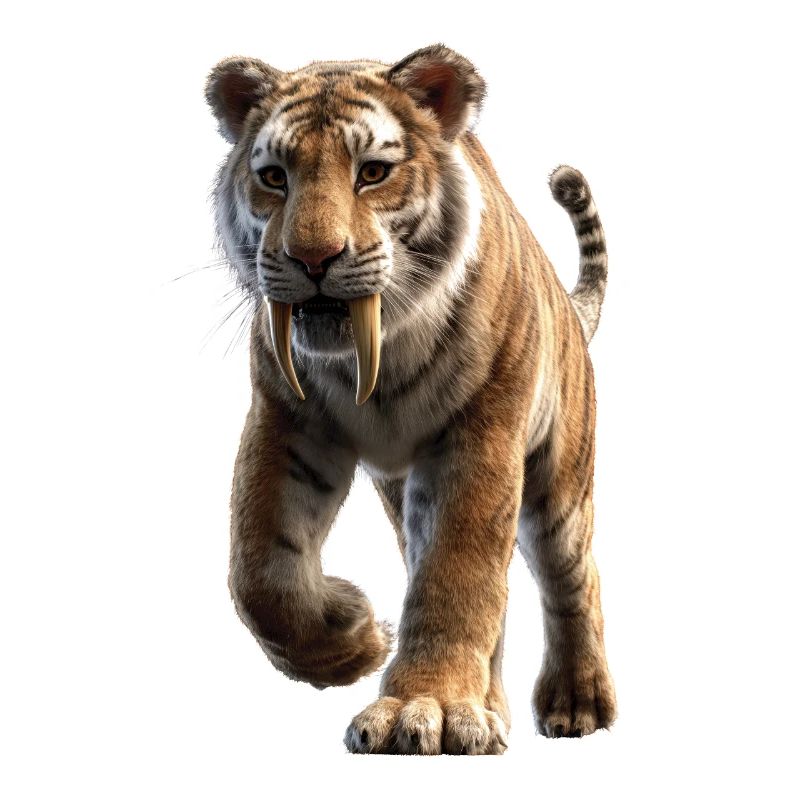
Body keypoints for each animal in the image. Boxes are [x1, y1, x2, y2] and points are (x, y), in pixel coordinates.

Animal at [205, 43, 616, 755]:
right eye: (275, 177)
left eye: (372, 173)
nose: (311, 257)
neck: (376, 357)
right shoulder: (287, 421)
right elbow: (259, 572)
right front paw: (353, 638)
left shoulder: (479, 434)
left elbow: (457, 575)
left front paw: (430, 710)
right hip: (403, 496)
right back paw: (491, 705)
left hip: (558, 484)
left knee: (573, 577)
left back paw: (577, 705)